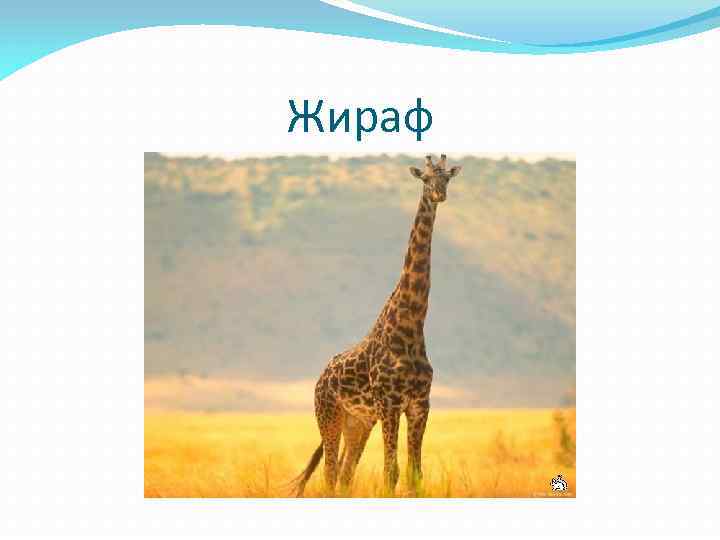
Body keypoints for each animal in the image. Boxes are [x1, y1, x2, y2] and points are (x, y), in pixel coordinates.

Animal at [290, 154, 462, 497]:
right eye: (426, 179)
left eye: (447, 177)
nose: (439, 195)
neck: (411, 325)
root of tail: (320, 378)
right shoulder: (389, 404)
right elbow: (391, 472)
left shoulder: (420, 404)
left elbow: (414, 474)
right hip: (328, 415)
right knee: (330, 473)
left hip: (358, 422)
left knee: (345, 475)